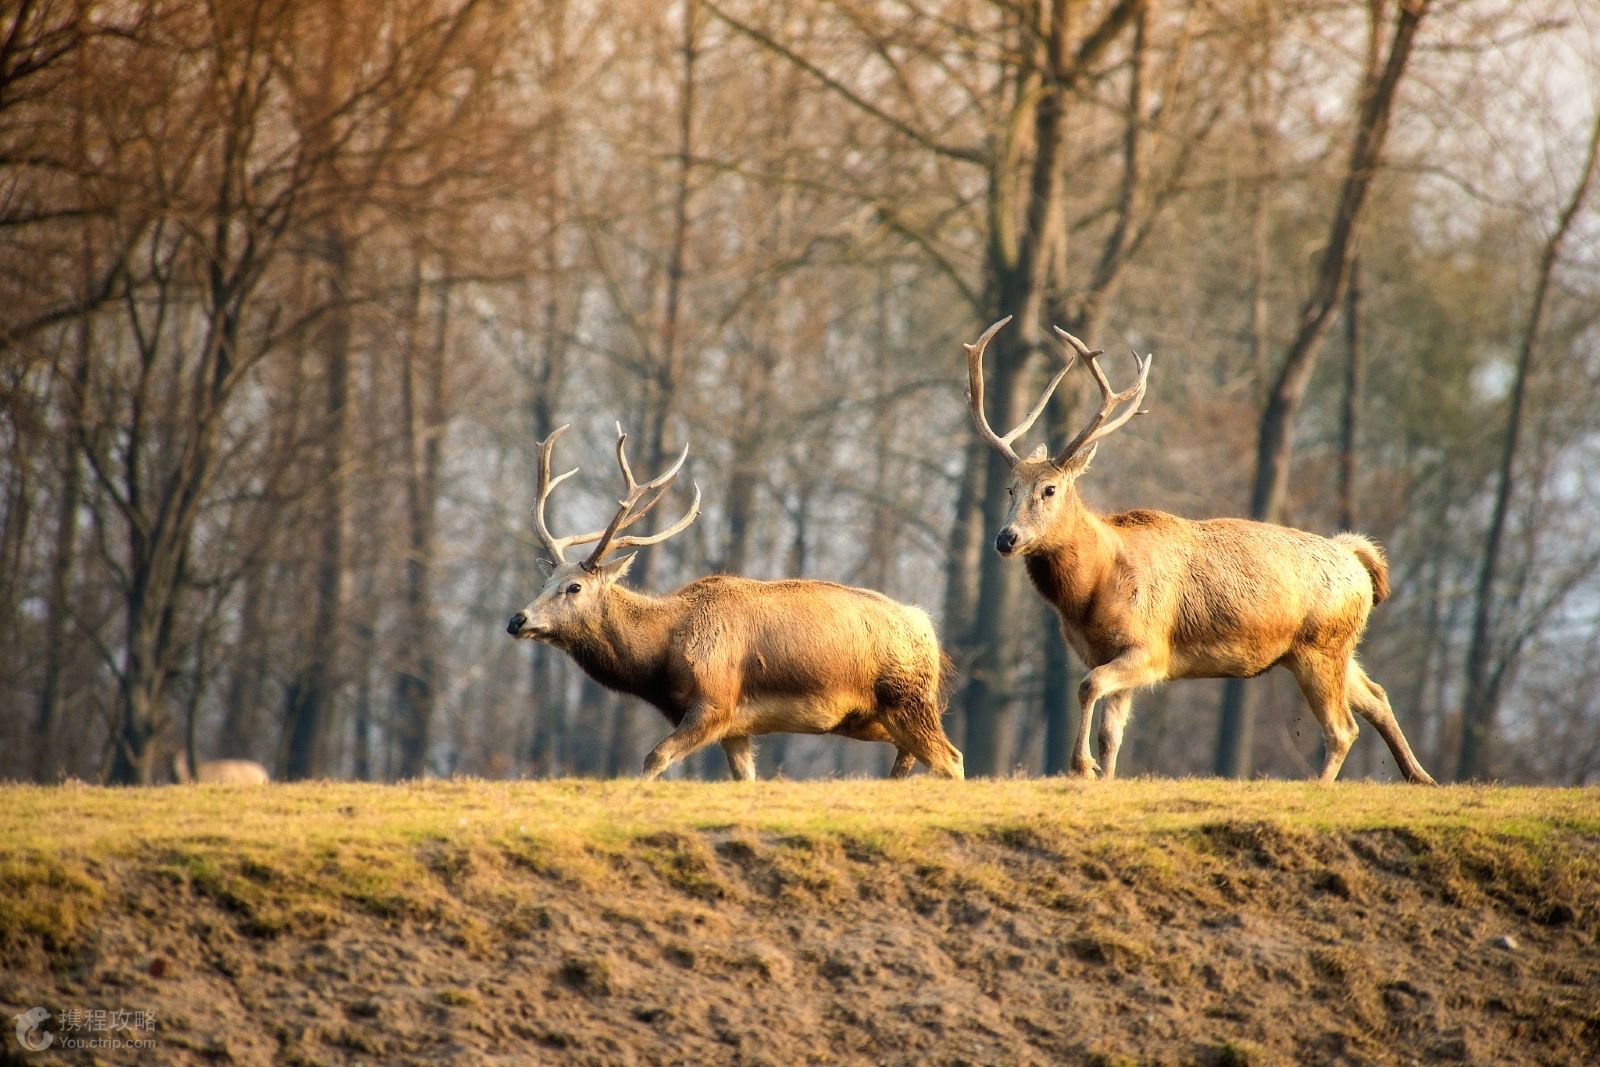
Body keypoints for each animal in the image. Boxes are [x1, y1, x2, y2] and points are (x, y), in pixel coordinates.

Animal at [505, 422, 966, 780]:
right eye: (546, 578)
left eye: (574, 587)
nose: (517, 619)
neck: (662, 655)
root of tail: (929, 633)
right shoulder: (736, 728)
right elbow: (744, 778)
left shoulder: (715, 702)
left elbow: (655, 756)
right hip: (876, 716)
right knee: (917, 756)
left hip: (908, 700)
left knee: (952, 758)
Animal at [960, 316, 1440, 783]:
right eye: (1009, 488)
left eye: (1050, 489)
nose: (1006, 538)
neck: (1093, 590)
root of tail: (1357, 559)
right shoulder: (1105, 653)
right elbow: (1111, 735)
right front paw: (1103, 775)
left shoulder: (1150, 647)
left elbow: (1088, 686)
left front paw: (1081, 766)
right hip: (1330, 649)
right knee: (1377, 696)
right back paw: (1421, 777)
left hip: (1319, 647)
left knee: (1342, 729)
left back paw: (1322, 786)